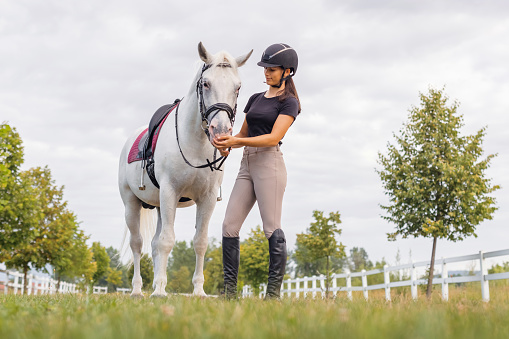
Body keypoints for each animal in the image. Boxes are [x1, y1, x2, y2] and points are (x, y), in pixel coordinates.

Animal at [117, 42, 252, 298]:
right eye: (206, 83)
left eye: (238, 87)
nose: (221, 131)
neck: (195, 143)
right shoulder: (170, 191)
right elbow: (167, 241)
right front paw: (160, 292)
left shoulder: (206, 198)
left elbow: (199, 242)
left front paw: (198, 291)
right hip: (131, 204)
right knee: (138, 244)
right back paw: (138, 290)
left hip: (160, 206)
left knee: (153, 244)